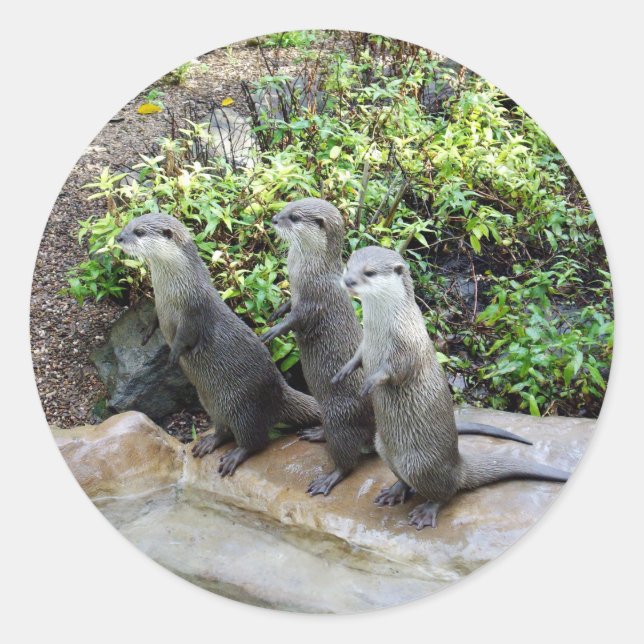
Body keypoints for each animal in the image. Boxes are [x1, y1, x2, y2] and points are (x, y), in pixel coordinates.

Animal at [116, 213, 321, 475]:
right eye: (128, 225)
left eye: (139, 232)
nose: (119, 238)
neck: (173, 292)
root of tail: (279, 390)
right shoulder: (159, 303)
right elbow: (154, 316)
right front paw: (147, 331)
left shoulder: (194, 311)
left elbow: (185, 336)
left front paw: (173, 356)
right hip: (212, 403)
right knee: (224, 429)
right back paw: (210, 442)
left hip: (245, 408)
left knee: (256, 441)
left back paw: (235, 456)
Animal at [262, 198, 532, 496]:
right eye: (286, 207)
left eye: (294, 217)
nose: (274, 219)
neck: (306, 271)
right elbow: (289, 306)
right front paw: (277, 312)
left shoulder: (316, 299)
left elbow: (297, 319)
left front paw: (274, 330)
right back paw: (316, 433)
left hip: (339, 417)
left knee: (347, 457)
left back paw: (330, 476)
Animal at [334, 246, 569, 529]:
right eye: (348, 267)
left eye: (369, 272)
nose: (348, 281)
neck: (383, 332)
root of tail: (457, 464)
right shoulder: (364, 343)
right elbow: (357, 358)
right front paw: (343, 371)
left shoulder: (407, 347)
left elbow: (394, 371)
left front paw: (369, 382)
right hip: (383, 449)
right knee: (405, 478)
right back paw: (394, 491)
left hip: (419, 464)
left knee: (446, 492)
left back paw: (426, 511)